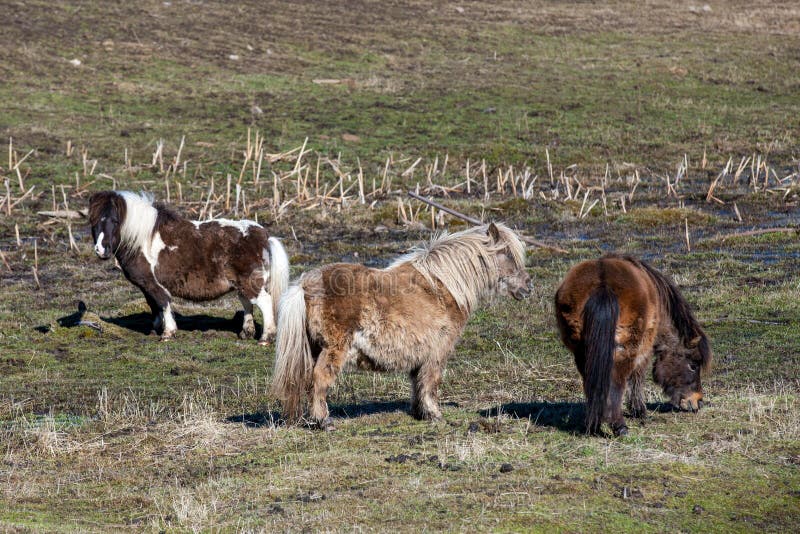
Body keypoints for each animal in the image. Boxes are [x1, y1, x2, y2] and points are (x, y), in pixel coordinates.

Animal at [89, 193, 290, 344]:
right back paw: (246, 333)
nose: (101, 250)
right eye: (93, 221)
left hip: (250, 282)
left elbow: (163, 303)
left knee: (264, 302)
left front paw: (168, 333)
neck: (142, 239)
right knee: (247, 303)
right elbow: (154, 306)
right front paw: (155, 328)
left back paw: (266, 338)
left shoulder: (154, 284)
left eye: (115, 220)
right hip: (241, 284)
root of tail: (264, 235)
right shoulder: (146, 286)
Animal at [274, 223, 532, 432]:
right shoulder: (438, 351)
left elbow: (418, 382)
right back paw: (324, 422)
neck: (444, 287)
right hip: (333, 349)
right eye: (507, 254)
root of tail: (305, 285)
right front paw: (435, 415)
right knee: (320, 379)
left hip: (313, 349)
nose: (528, 286)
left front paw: (421, 414)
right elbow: (430, 381)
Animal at [556, 256, 712, 440]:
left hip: (583, 352)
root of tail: (602, 283)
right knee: (616, 384)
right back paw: (620, 426)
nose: (698, 401)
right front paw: (640, 411)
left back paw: (593, 425)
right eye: (693, 365)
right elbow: (637, 376)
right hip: (624, 351)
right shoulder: (644, 348)